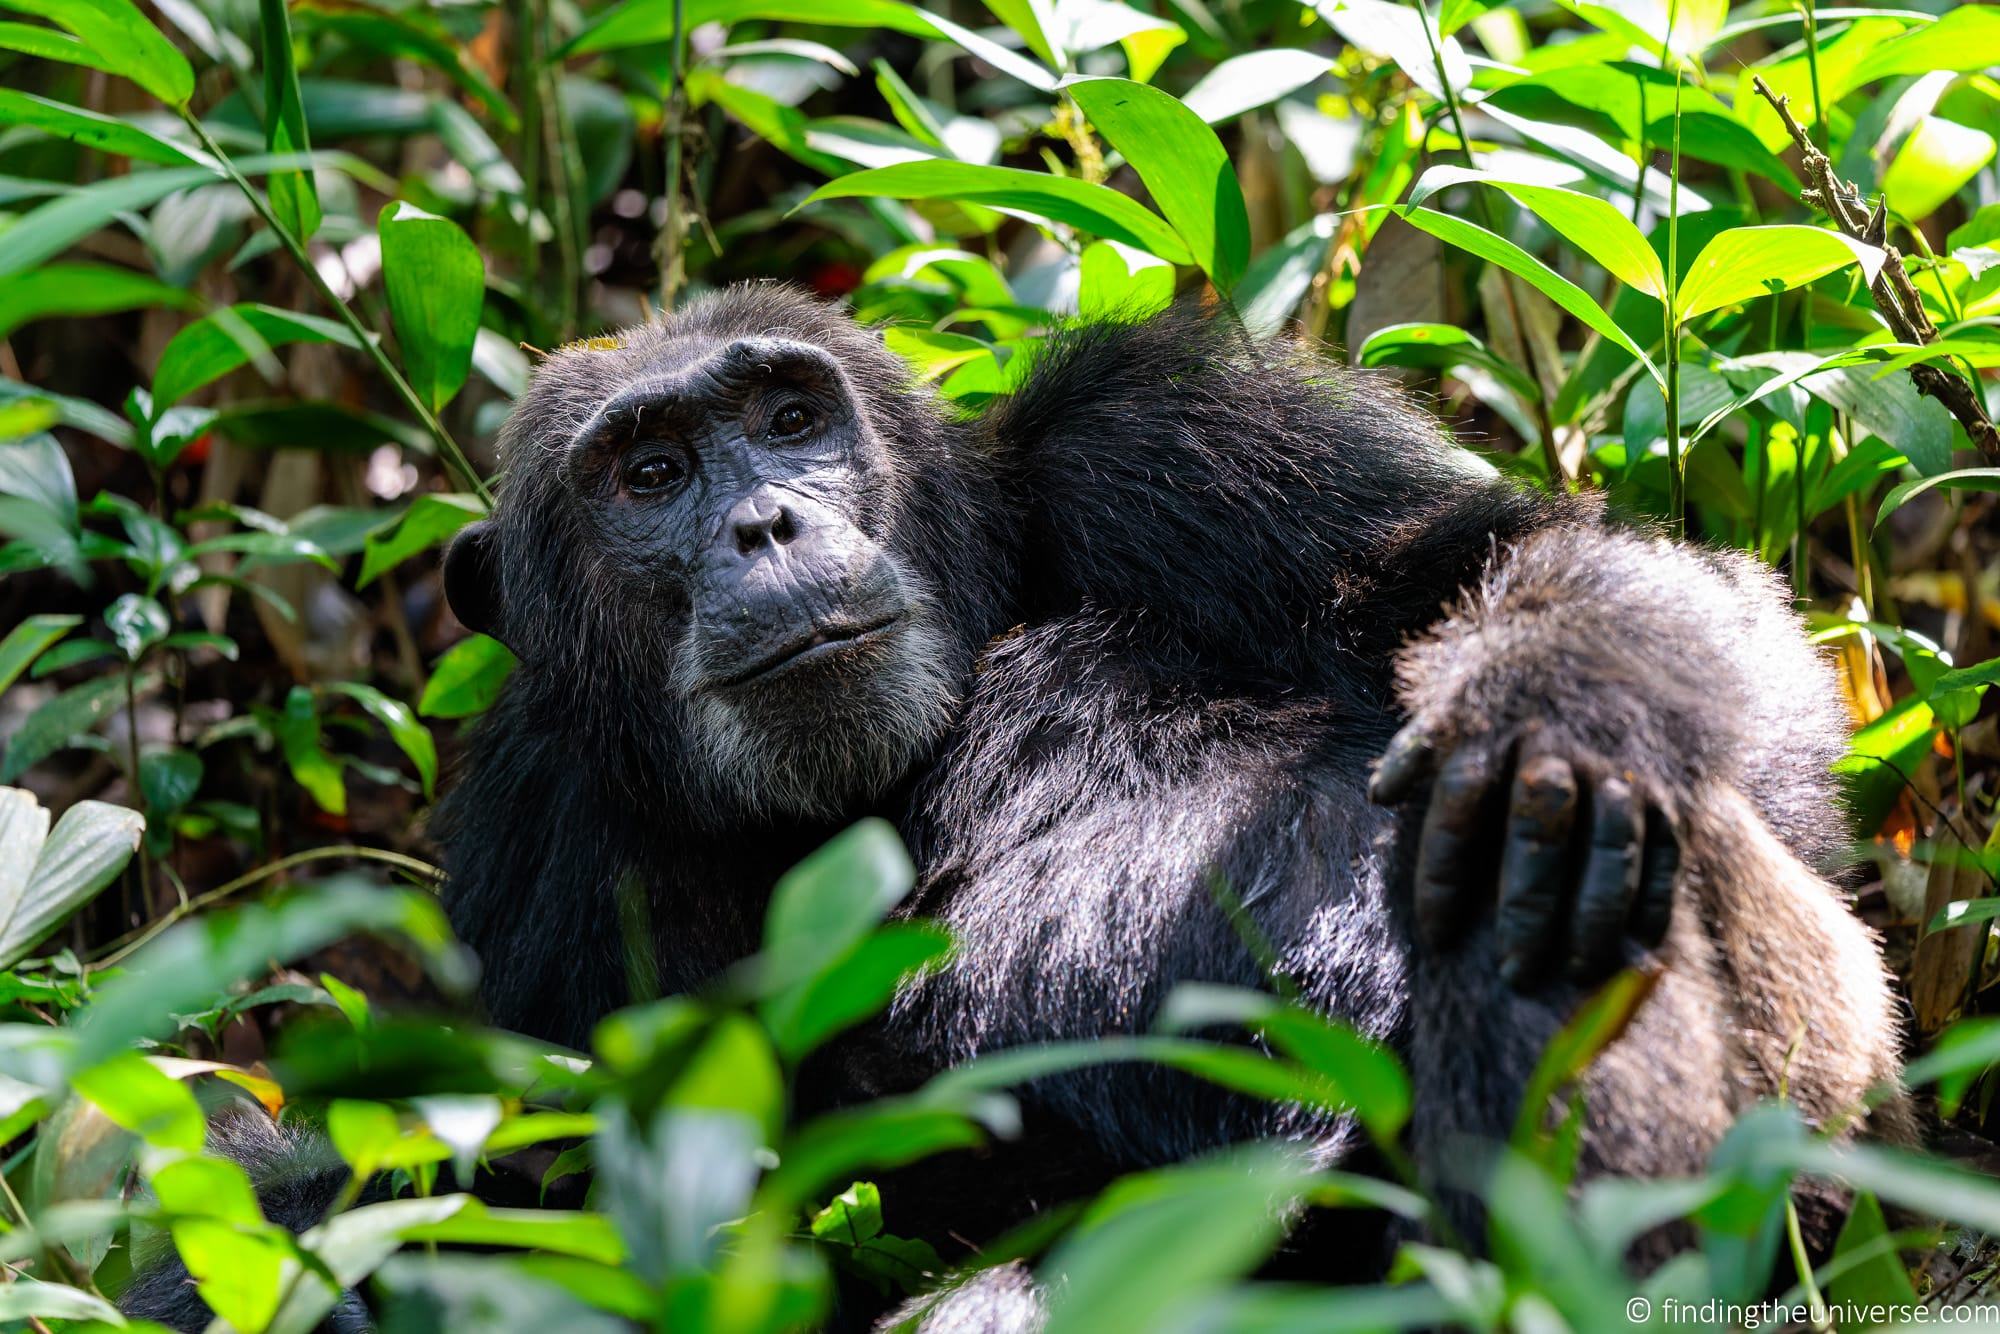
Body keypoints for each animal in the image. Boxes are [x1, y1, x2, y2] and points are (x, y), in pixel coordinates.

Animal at [121, 282, 1904, 1328]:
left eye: (788, 417)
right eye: (648, 475)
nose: (766, 522)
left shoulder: (1183, 446)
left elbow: (1501, 558)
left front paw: (1560, 724)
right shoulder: (538, 847)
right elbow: (544, 1188)